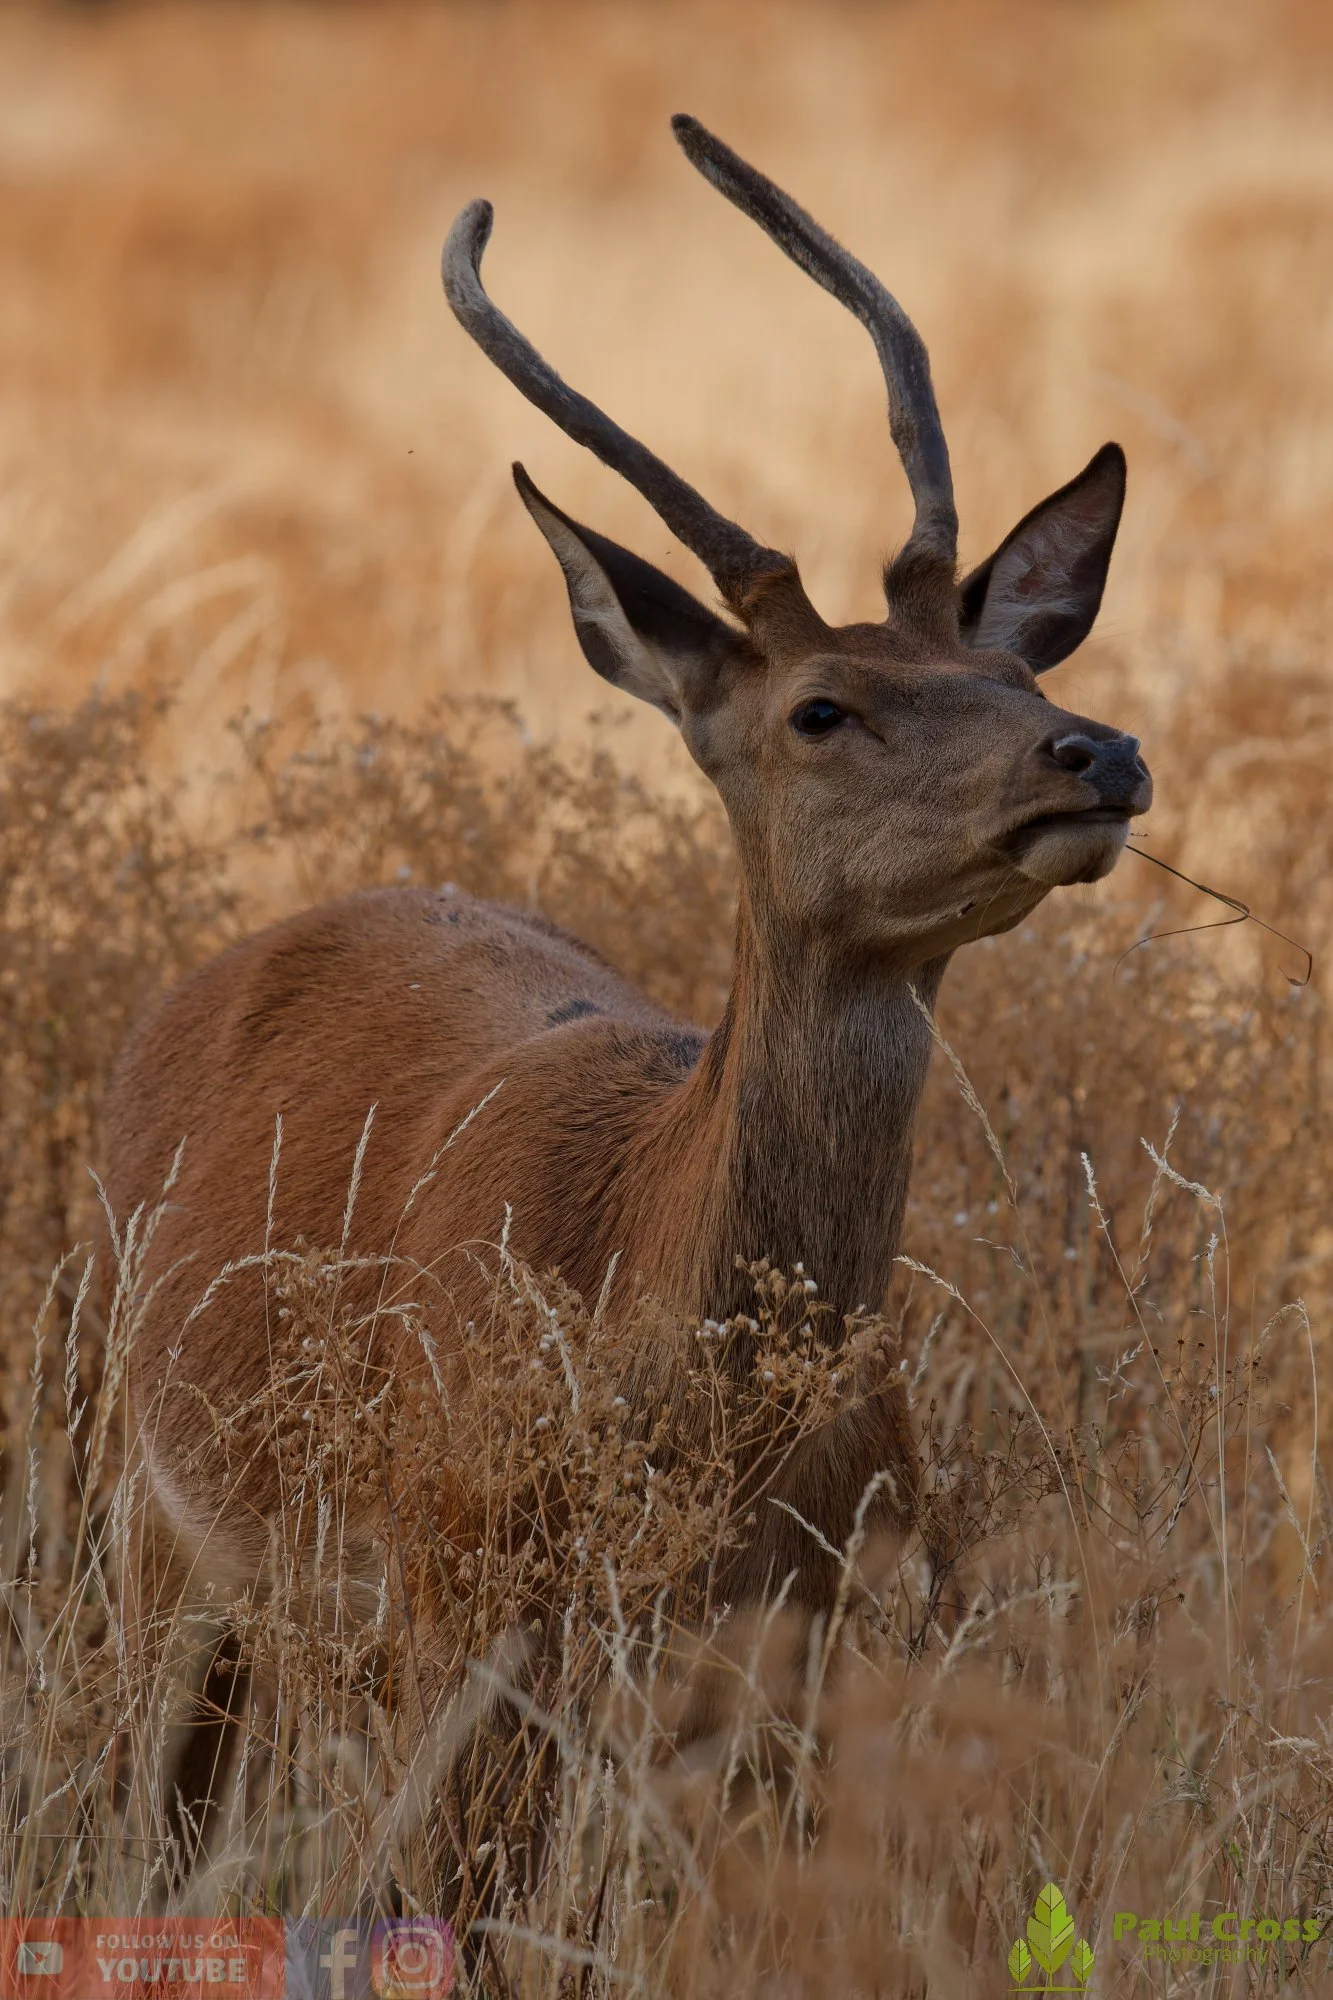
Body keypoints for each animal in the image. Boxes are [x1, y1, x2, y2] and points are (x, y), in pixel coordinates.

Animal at [104, 116, 1150, 1873]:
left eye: (1016, 672)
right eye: (818, 708)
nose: (1100, 753)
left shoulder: (822, 1644)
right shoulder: (468, 1617)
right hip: (159, 1529)